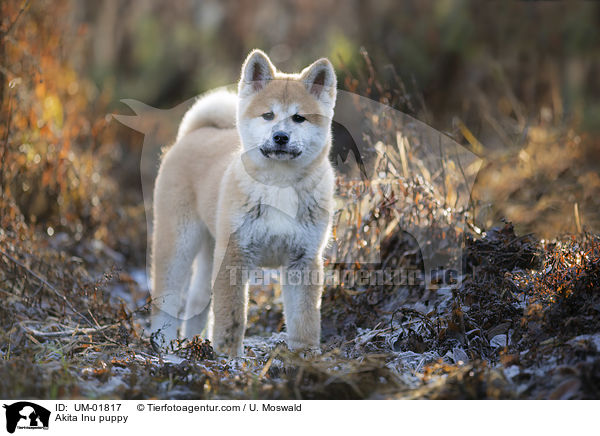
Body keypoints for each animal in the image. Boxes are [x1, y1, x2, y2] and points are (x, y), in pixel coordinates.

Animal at [150, 50, 338, 358]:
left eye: (299, 118)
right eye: (268, 115)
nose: (280, 137)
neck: (279, 186)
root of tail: (194, 133)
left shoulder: (303, 260)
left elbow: (305, 320)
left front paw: (305, 357)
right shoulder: (234, 256)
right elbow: (232, 317)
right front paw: (228, 358)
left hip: (209, 250)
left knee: (197, 302)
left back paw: (192, 344)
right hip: (179, 244)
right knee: (166, 302)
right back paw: (163, 345)